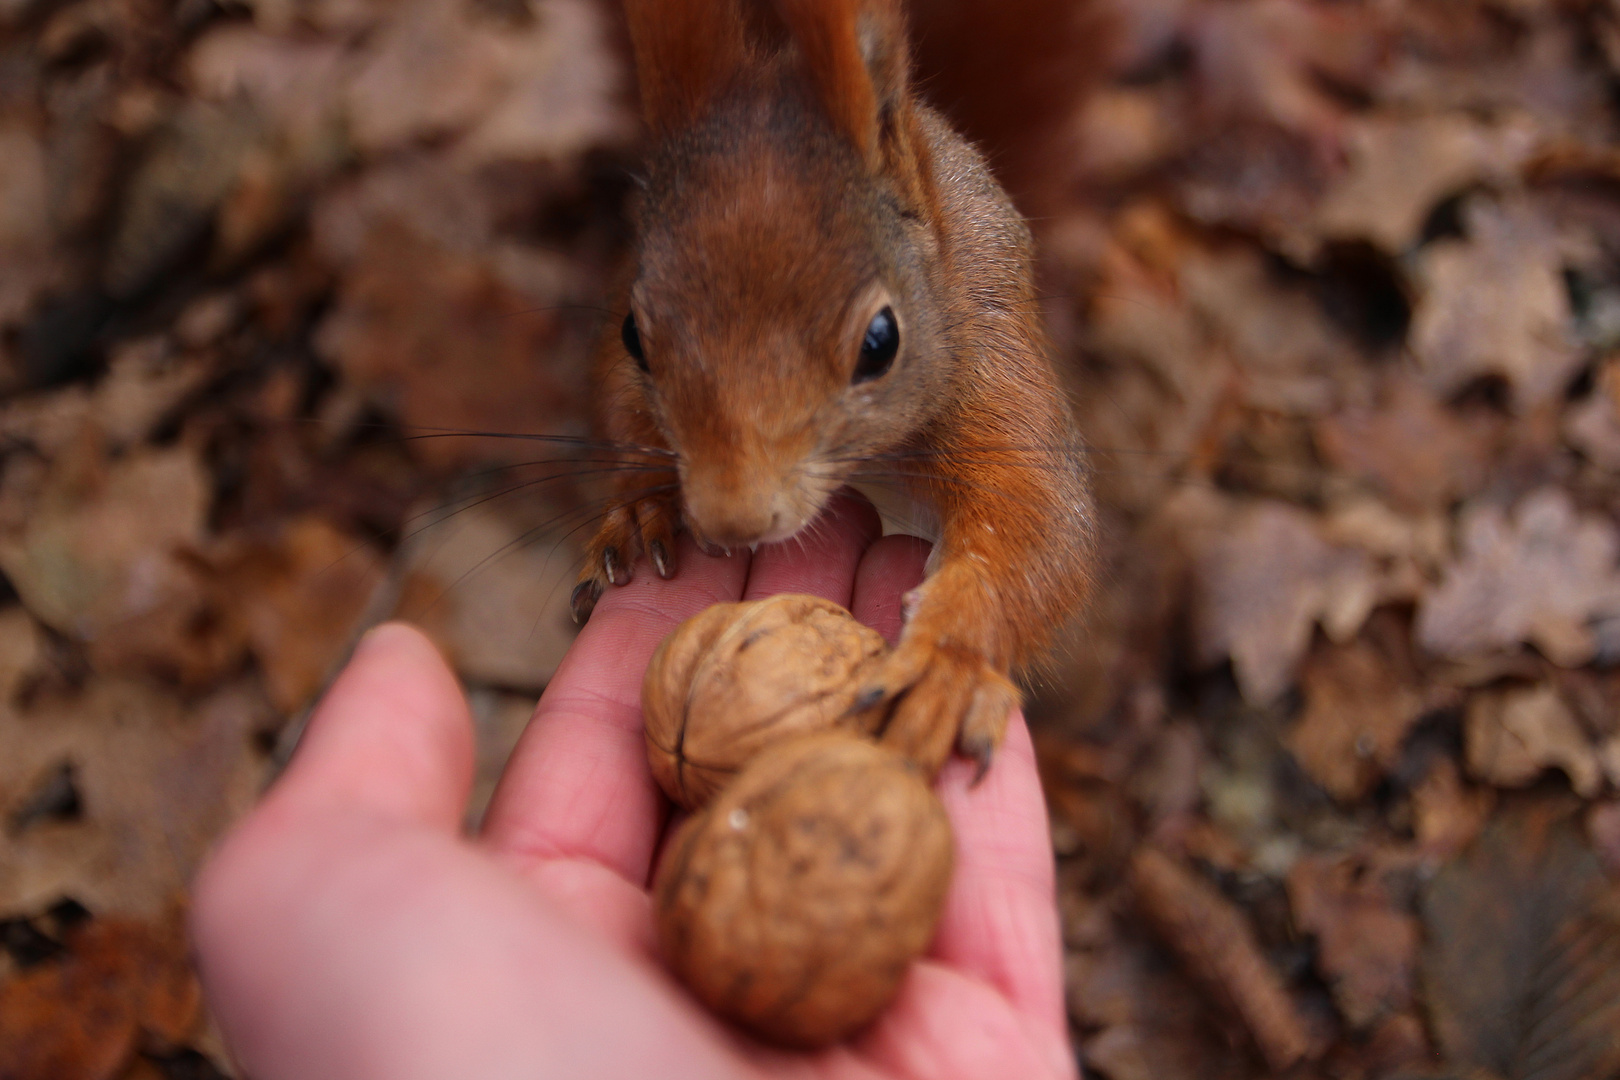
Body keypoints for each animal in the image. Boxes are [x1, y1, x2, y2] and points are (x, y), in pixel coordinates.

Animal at [576, 0, 1095, 780]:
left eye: (881, 342)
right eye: (635, 335)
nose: (733, 519)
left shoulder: (996, 364)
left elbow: (1043, 522)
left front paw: (947, 662)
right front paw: (642, 504)